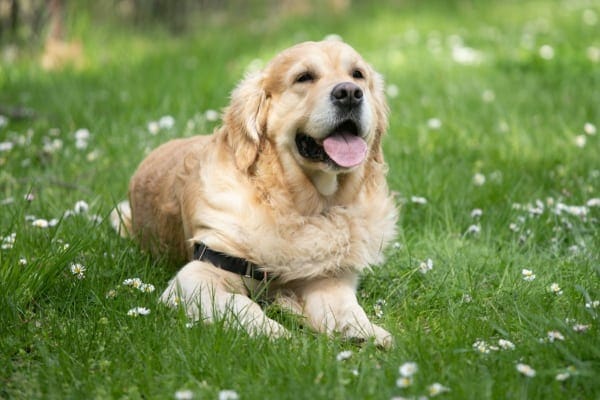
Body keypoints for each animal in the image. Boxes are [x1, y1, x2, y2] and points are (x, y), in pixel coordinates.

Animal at [112, 39, 398, 346]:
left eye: (358, 74)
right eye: (304, 77)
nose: (350, 93)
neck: (303, 208)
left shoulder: (327, 276)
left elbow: (343, 306)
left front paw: (365, 331)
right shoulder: (196, 276)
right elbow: (240, 304)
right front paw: (279, 334)